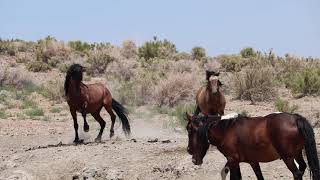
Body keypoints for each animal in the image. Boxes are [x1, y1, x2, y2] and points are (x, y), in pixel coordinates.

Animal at [185, 112, 320, 179]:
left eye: (189, 129)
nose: (189, 150)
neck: (226, 130)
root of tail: (296, 119)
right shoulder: (251, 161)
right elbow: (259, 177)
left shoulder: (232, 160)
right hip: (297, 154)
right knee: (302, 167)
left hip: (288, 158)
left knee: (297, 174)